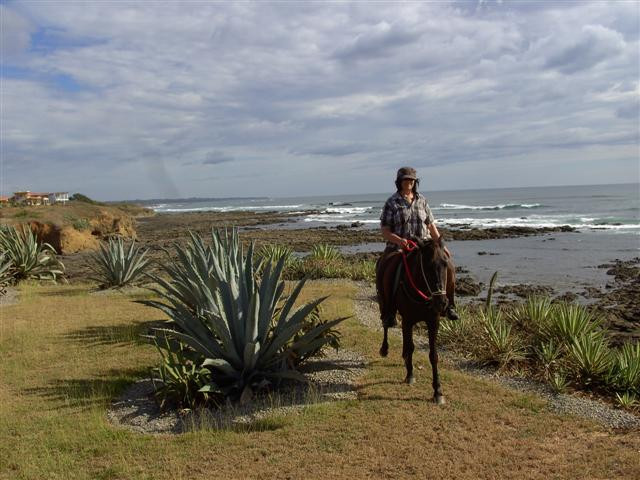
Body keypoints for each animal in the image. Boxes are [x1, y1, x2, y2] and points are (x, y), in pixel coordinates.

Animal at [380, 239, 450, 404]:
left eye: (445, 264)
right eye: (428, 266)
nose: (442, 303)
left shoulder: (433, 322)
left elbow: (433, 355)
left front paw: (438, 392)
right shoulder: (408, 320)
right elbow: (411, 347)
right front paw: (410, 375)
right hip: (384, 304)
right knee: (385, 324)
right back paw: (384, 349)